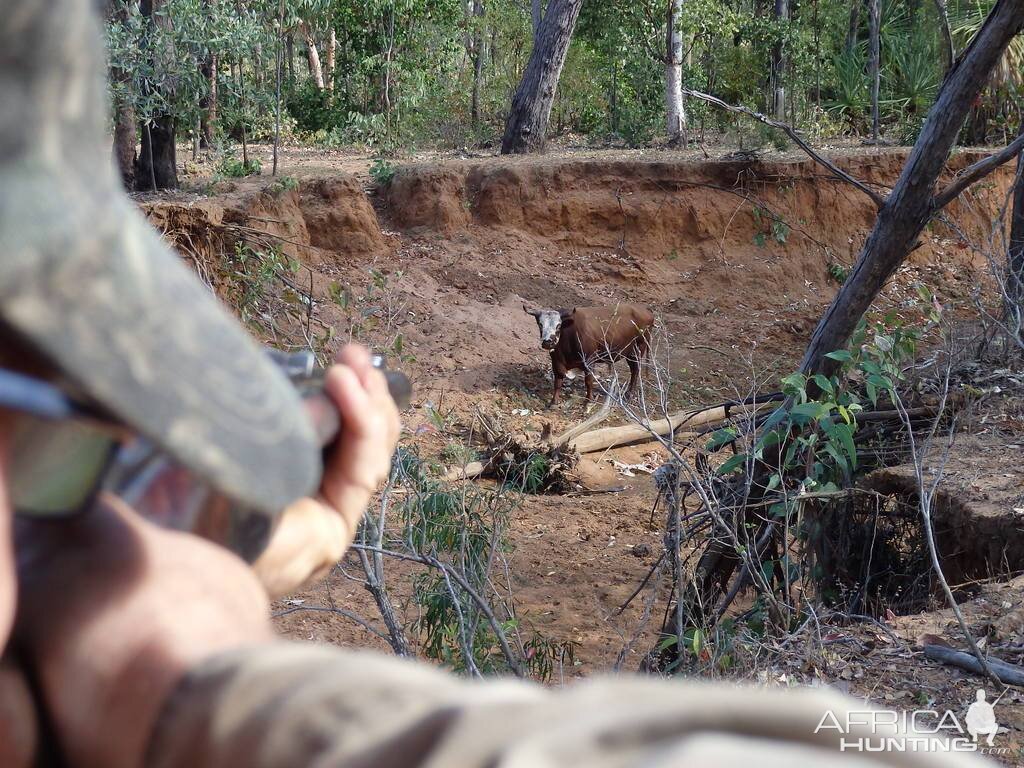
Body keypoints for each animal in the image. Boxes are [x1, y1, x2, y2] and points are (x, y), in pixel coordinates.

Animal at [520, 303, 655, 405]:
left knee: (635, 371)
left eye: (558, 325)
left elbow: (589, 381)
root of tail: (645, 309)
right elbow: (557, 382)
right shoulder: (557, 361)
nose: (547, 342)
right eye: (540, 324)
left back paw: (629, 394)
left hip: (637, 350)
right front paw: (554, 402)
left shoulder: (589, 361)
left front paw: (589, 400)